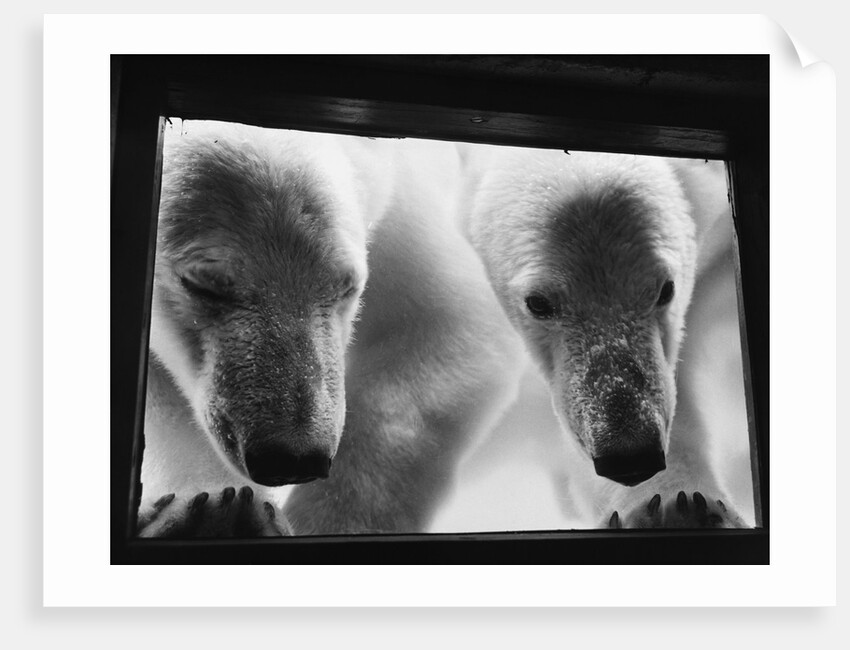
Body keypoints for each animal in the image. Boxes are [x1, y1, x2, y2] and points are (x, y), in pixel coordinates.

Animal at [136, 121, 524, 537]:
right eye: (200, 285)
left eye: (347, 285)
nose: (292, 458)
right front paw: (217, 512)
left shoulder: (397, 206)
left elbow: (450, 321)